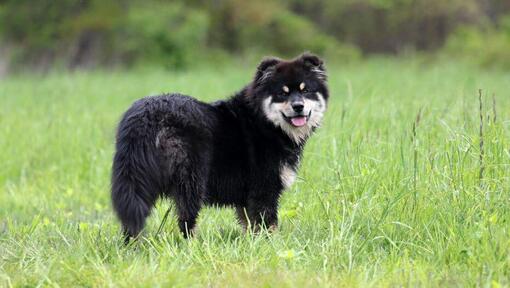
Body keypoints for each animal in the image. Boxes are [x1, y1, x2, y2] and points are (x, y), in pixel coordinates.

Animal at [109, 53, 328, 241]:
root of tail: (144, 118)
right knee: (186, 220)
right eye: (282, 93)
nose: (298, 106)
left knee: (132, 217)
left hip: (136, 179)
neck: (264, 122)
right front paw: (271, 245)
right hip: (191, 179)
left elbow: (250, 225)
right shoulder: (264, 189)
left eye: (306, 90)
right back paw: (191, 245)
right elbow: (268, 223)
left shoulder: (246, 198)